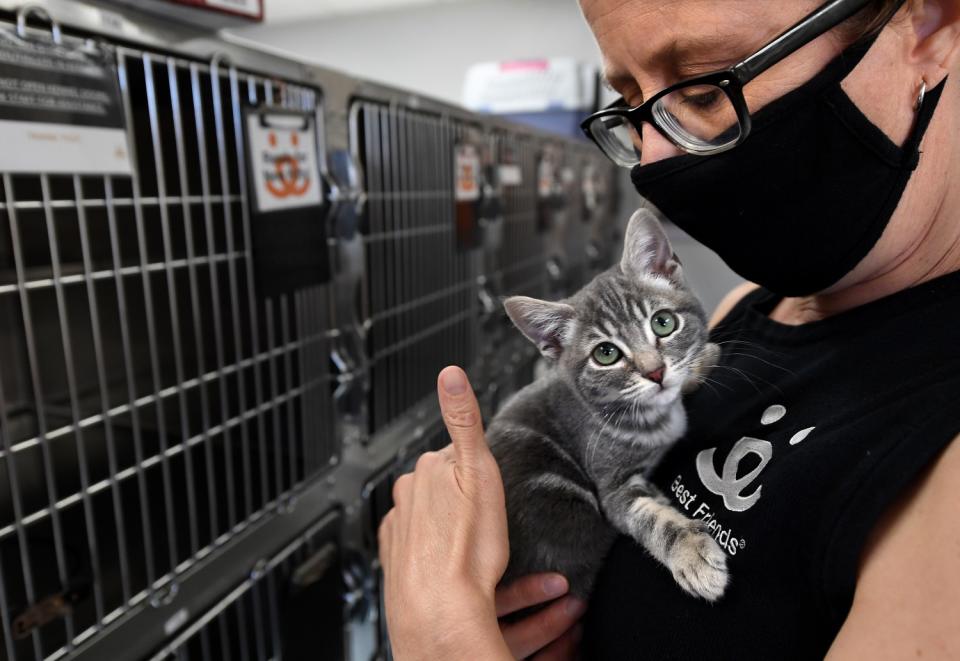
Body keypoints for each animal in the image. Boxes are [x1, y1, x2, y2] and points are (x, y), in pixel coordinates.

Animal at [488, 209, 728, 600]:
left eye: (663, 323)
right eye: (606, 354)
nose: (655, 372)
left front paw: (701, 359)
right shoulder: (612, 488)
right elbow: (651, 516)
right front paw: (691, 551)